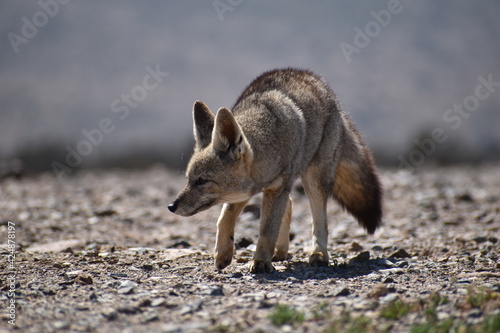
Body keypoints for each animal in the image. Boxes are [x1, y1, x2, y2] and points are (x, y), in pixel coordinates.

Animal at [168, 67, 382, 272]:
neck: (271, 142)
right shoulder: (247, 192)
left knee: (319, 222)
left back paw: (318, 254)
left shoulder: (276, 188)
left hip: (313, 180)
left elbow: (267, 230)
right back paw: (281, 251)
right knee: (289, 204)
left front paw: (261, 261)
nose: (171, 206)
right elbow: (224, 218)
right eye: (189, 179)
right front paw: (223, 254)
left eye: (202, 181)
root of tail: (317, 80)